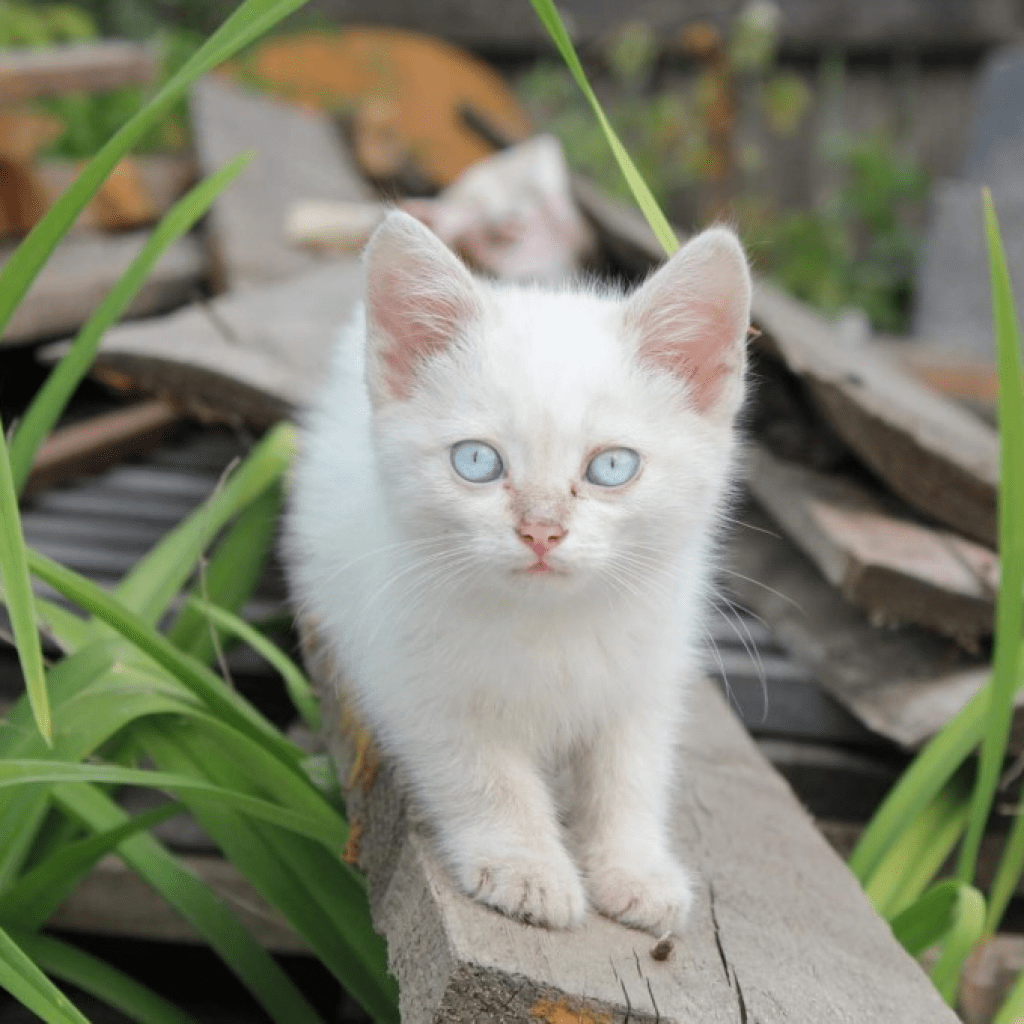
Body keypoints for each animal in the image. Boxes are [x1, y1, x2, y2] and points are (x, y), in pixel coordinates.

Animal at [286, 209, 753, 937]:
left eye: (612, 467)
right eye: (477, 461)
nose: (541, 529)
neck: (547, 622)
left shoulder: (647, 667)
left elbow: (630, 771)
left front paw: (636, 870)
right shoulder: (415, 675)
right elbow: (485, 772)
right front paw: (527, 868)